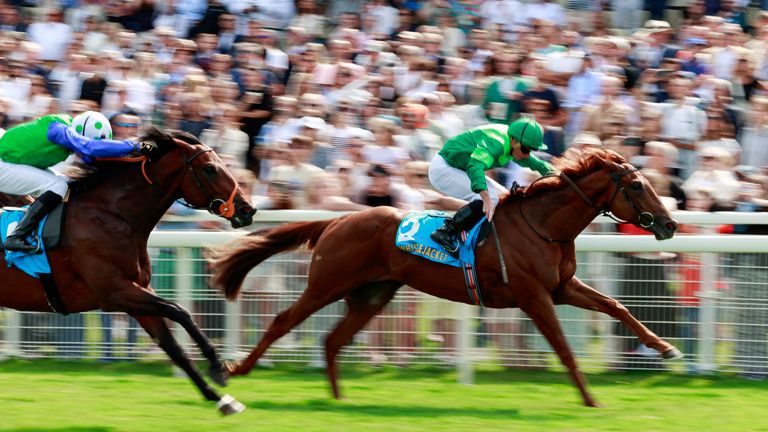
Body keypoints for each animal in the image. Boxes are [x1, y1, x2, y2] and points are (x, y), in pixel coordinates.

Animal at [0, 127, 258, 416]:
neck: (114, 217)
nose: (248, 209)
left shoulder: (138, 294)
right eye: (210, 168)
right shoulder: (115, 293)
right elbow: (181, 311)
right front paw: (217, 367)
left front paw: (221, 398)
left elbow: (174, 348)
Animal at [208, 147, 680, 406]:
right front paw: (591, 400)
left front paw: (665, 348)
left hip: (373, 294)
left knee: (332, 340)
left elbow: (616, 306)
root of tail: (337, 219)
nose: (669, 224)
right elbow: (564, 349)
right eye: (636, 186)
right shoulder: (534, 296)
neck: (544, 224)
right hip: (327, 284)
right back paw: (237, 369)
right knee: (282, 321)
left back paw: (339, 398)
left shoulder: (562, 288)